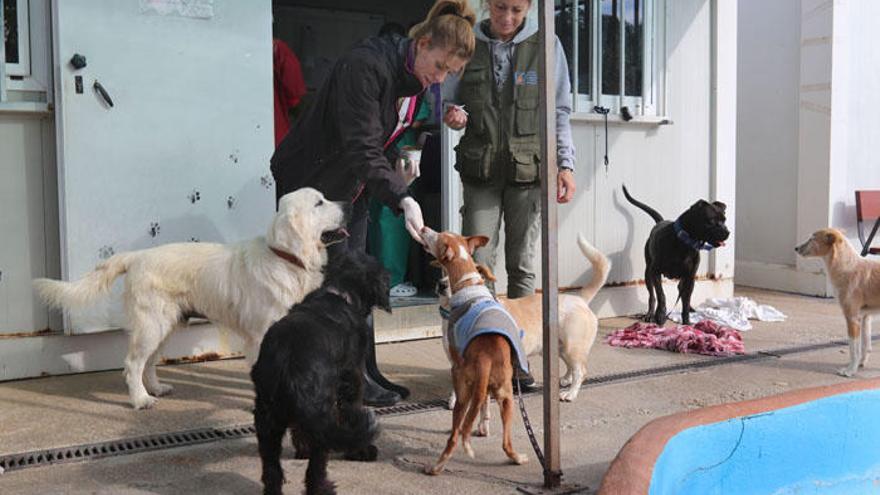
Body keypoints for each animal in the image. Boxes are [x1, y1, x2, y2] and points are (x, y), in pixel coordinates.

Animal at [254, 250, 392, 495]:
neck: (340, 293)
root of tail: (287, 362)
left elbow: (299, 428)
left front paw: (302, 448)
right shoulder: (352, 380)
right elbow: (351, 412)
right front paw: (361, 452)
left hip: (267, 416)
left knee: (271, 470)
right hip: (321, 409)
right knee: (316, 467)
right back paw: (323, 488)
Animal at [422, 229, 528, 476]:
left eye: (438, 237)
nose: (423, 229)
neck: (468, 282)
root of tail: (486, 357)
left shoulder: (455, 364)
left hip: (465, 392)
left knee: (454, 436)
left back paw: (436, 467)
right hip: (507, 396)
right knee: (506, 443)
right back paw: (517, 458)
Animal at [624, 185, 732, 326]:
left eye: (724, 220)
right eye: (712, 221)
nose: (728, 232)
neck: (685, 243)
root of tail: (660, 222)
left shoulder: (690, 277)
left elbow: (686, 301)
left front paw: (687, 322)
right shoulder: (655, 272)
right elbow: (661, 295)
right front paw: (660, 315)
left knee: (681, 290)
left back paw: (690, 308)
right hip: (648, 272)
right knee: (652, 296)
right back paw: (650, 314)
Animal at [796, 231, 880, 378]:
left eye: (812, 239)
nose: (796, 248)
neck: (849, 267)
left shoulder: (852, 318)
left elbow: (854, 349)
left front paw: (850, 370)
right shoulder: (865, 318)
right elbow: (865, 345)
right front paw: (860, 364)